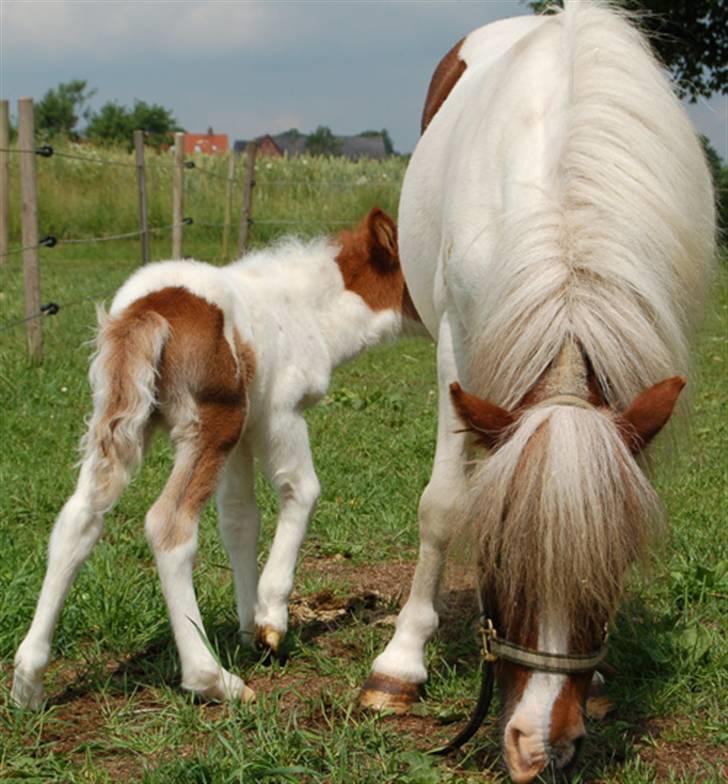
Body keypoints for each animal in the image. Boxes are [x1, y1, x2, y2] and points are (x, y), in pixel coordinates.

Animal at [12, 205, 420, 708]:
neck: (310, 310)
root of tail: (148, 310)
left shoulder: (246, 432)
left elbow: (240, 518)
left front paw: (251, 628)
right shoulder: (280, 414)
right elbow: (301, 490)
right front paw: (272, 618)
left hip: (120, 417)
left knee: (79, 518)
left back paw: (28, 681)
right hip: (210, 423)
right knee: (168, 524)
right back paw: (212, 678)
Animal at [362, 3, 712, 780]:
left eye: (615, 567)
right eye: (496, 563)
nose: (538, 747)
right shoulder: (458, 348)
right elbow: (443, 506)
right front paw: (399, 664)